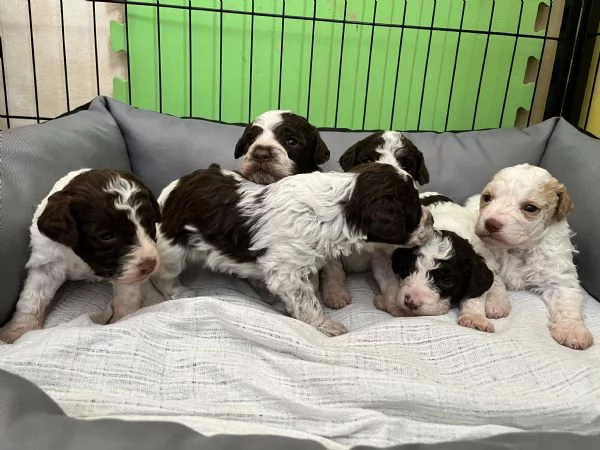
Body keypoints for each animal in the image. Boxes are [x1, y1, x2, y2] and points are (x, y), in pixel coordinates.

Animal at [0, 167, 162, 342]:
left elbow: (127, 295)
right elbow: (32, 298)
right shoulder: (48, 261)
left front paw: (123, 319)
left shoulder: (123, 270)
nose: (150, 265)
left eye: (150, 224)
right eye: (106, 236)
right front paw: (18, 330)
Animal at [149, 163, 432, 336]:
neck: (341, 206)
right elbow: (307, 301)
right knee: (162, 277)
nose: (431, 221)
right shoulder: (287, 272)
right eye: (413, 212)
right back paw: (178, 291)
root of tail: (172, 188)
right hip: (172, 249)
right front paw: (325, 325)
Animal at [322, 130, 428, 310]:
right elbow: (333, 270)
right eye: (368, 160)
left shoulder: (383, 252)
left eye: (406, 167)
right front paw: (336, 294)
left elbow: (388, 276)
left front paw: (393, 301)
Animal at [372, 192, 508, 332]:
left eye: (446, 280)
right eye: (408, 267)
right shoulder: (384, 254)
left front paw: (473, 318)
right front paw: (395, 304)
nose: (411, 302)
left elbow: (476, 292)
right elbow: (389, 279)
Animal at [468, 163, 596, 350]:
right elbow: (496, 281)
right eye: (487, 198)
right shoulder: (486, 259)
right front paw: (497, 303)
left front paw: (572, 330)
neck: (518, 248)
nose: (491, 223)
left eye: (530, 208)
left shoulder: (559, 275)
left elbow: (566, 302)